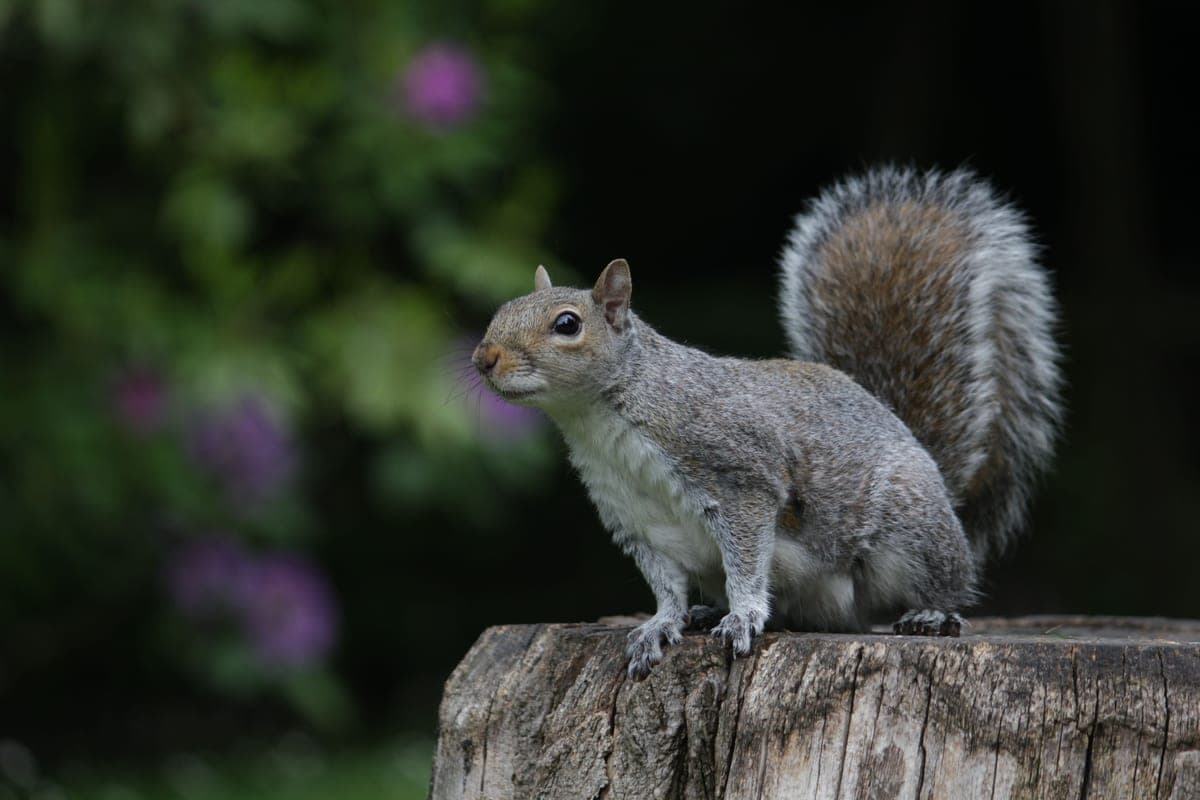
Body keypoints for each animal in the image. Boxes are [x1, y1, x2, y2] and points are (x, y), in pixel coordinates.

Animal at [472, 166, 1063, 680]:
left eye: (567, 325)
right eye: (503, 308)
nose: (484, 358)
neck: (600, 418)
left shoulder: (741, 478)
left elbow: (747, 560)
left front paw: (743, 615)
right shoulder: (635, 519)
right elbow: (666, 587)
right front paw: (661, 625)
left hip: (909, 530)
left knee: (945, 582)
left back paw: (932, 614)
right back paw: (705, 612)